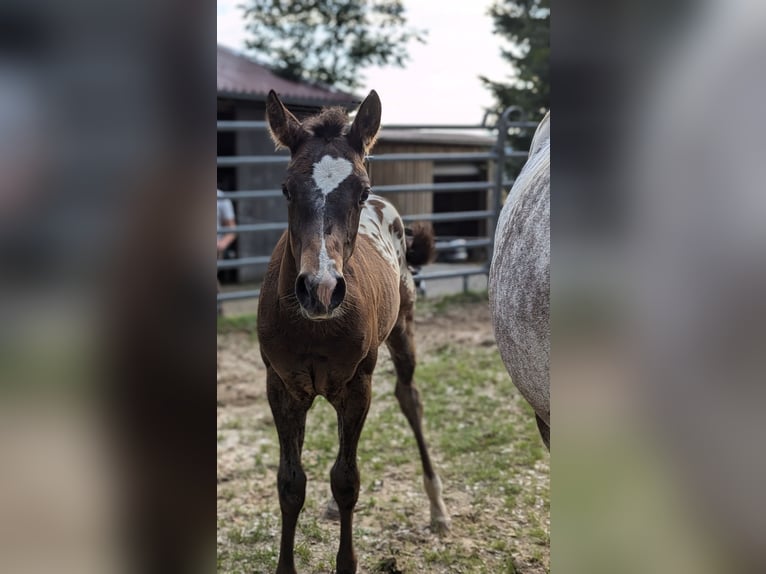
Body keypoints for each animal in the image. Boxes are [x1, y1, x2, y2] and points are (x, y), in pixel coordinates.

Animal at [258, 90, 450, 574]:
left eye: (360, 191)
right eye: (286, 188)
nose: (321, 289)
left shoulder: (357, 384)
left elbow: (347, 479)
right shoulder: (281, 386)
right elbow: (291, 483)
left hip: (402, 333)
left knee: (409, 399)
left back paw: (438, 508)